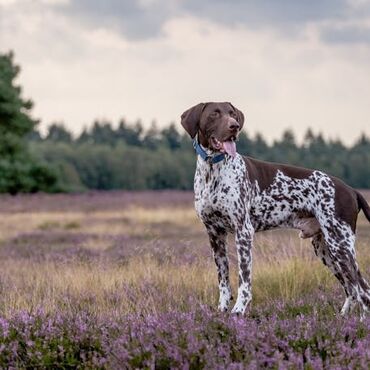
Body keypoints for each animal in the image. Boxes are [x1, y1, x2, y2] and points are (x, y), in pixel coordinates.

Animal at [181, 101, 370, 318]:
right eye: (214, 114)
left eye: (232, 114)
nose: (234, 126)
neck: (213, 171)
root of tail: (351, 190)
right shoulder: (214, 234)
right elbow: (223, 280)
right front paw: (221, 310)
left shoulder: (243, 232)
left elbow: (244, 280)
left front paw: (238, 311)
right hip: (326, 248)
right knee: (352, 289)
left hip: (340, 244)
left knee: (363, 289)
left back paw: (360, 321)